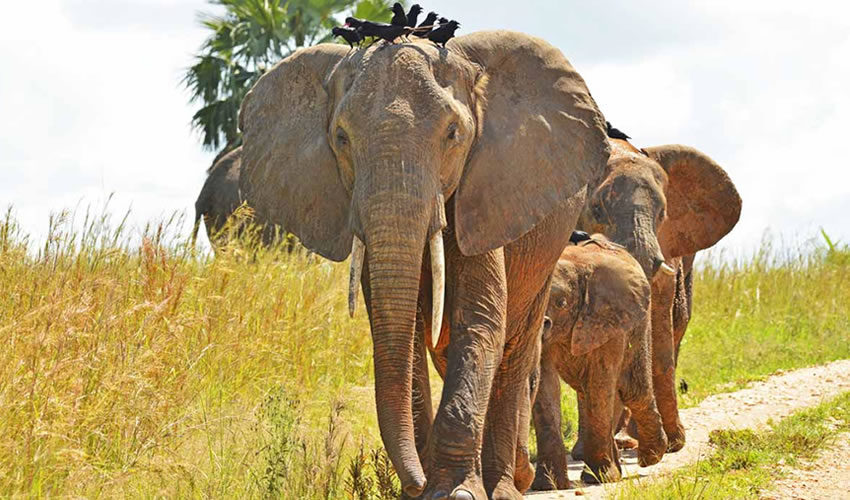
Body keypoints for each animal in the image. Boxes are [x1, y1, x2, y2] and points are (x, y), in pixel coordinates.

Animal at [238, 33, 608, 498]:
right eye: (340, 137)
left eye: (453, 134)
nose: (414, 483)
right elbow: (404, 331)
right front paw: (427, 485)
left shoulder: (485, 191)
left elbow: (480, 320)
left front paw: (457, 493)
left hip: (547, 248)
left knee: (514, 353)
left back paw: (506, 487)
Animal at [528, 236, 664, 490]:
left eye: (562, 303)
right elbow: (546, 388)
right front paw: (548, 485)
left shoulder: (607, 317)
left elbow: (600, 383)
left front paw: (601, 478)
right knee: (596, 391)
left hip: (638, 324)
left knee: (632, 389)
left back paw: (649, 457)